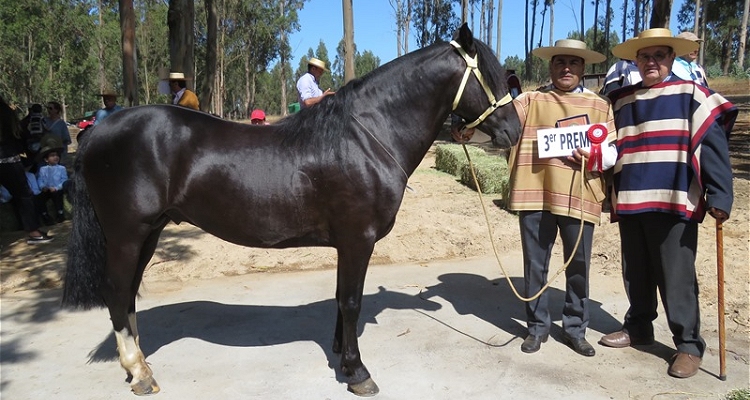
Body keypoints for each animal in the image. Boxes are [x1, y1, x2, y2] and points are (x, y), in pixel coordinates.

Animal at [63, 25, 524, 396]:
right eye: (489, 75)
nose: (514, 131)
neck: (367, 137)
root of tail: (97, 132)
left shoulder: (346, 244)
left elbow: (340, 298)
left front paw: (342, 357)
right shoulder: (358, 240)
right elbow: (351, 301)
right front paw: (358, 373)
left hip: (150, 232)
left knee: (128, 296)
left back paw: (139, 365)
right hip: (127, 234)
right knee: (117, 293)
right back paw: (139, 373)